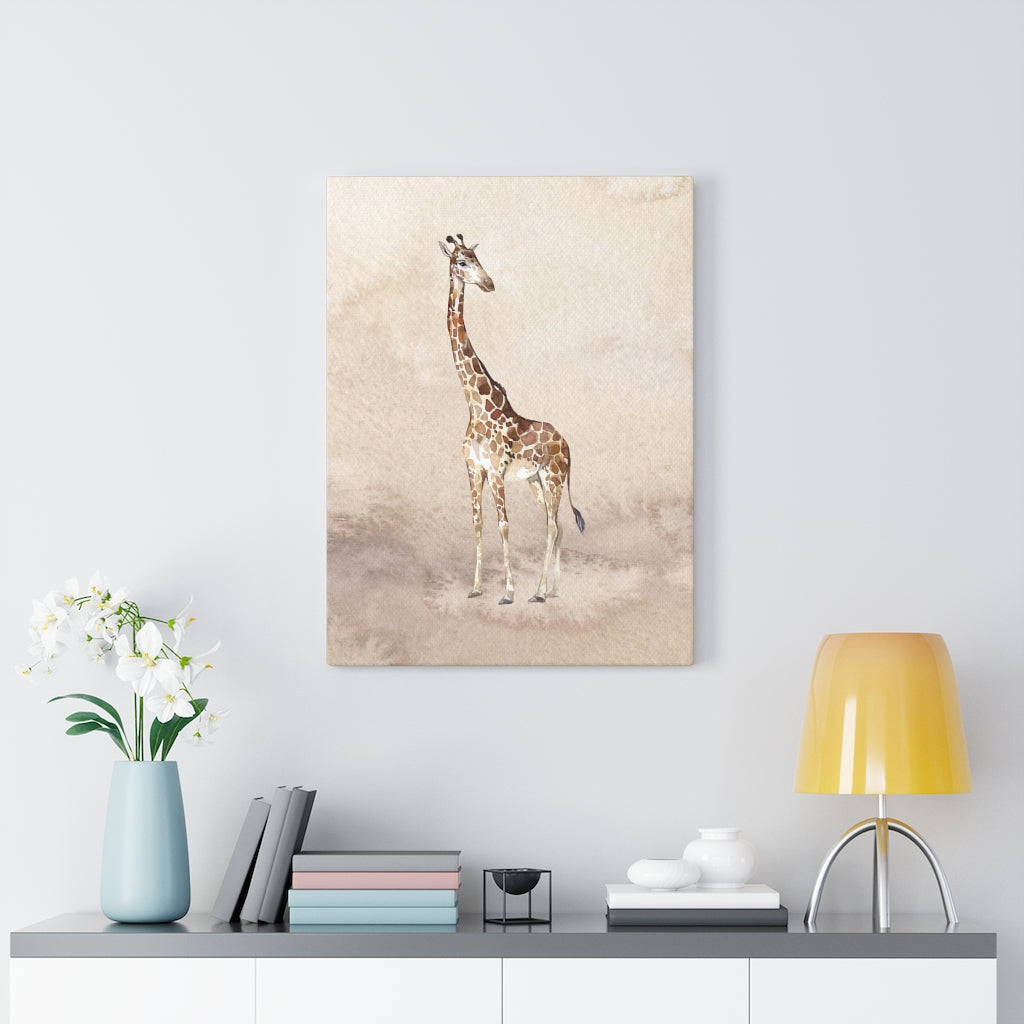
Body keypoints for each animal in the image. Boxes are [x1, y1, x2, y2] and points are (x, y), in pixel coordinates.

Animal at [439, 233, 585, 605]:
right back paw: (552, 589)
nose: (488, 283)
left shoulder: (495, 471)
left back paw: (538, 592)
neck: (476, 405)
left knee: (551, 525)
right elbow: (477, 524)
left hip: (552, 478)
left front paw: (507, 592)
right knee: (557, 524)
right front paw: (476, 587)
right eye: (462, 262)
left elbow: (504, 525)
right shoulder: (473, 469)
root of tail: (567, 444)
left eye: (477, 258)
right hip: (536, 481)